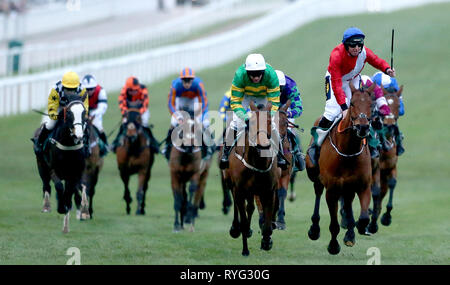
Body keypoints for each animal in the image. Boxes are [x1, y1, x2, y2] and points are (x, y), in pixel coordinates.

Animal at [32, 94, 88, 232]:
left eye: (84, 112)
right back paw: (47, 206)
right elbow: (58, 186)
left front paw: (69, 210)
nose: (79, 135)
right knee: (46, 185)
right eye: (68, 112)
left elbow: (69, 191)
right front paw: (61, 208)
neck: (67, 144)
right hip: (41, 165)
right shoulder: (53, 169)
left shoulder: (74, 172)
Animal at [227, 101, 280, 255]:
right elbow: (243, 221)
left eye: (269, 121)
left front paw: (266, 242)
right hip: (231, 184)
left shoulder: (268, 191)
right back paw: (235, 228)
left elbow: (267, 224)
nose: (263, 145)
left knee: (250, 207)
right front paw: (245, 250)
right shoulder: (239, 190)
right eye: (251, 122)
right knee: (238, 207)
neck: (257, 162)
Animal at [304, 82, 374, 253]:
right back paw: (314, 229)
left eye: (371, 104)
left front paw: (359, 228)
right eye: (352, 103)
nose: (363, 127)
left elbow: (363, 217)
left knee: (348, 202)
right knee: (318, 192)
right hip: (316, 176)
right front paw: (333, 246)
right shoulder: (332, 189)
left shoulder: (363, 185)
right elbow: (334, 224)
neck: (348, 151)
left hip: (348, 187)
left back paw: (350, 233)